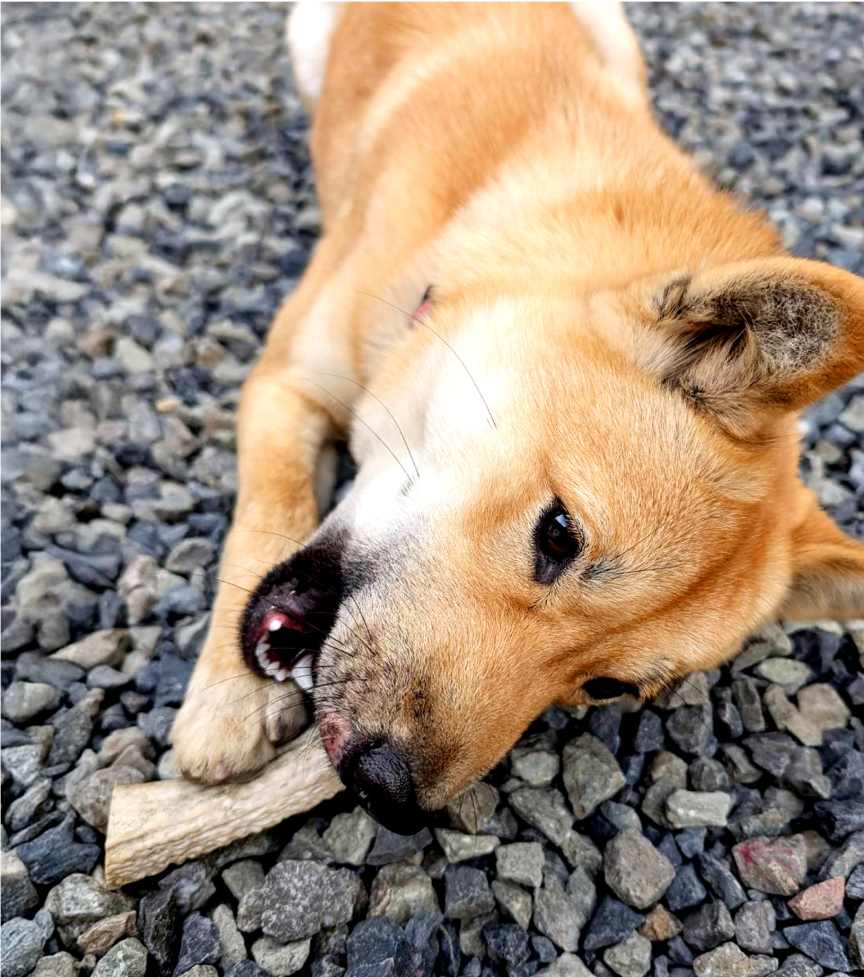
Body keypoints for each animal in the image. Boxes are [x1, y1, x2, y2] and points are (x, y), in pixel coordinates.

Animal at [170, 3, 864, 836]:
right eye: (558, 533)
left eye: (606, 686)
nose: (386, 790)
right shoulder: (285, 380)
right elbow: (267, 510)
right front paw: (228, 701)